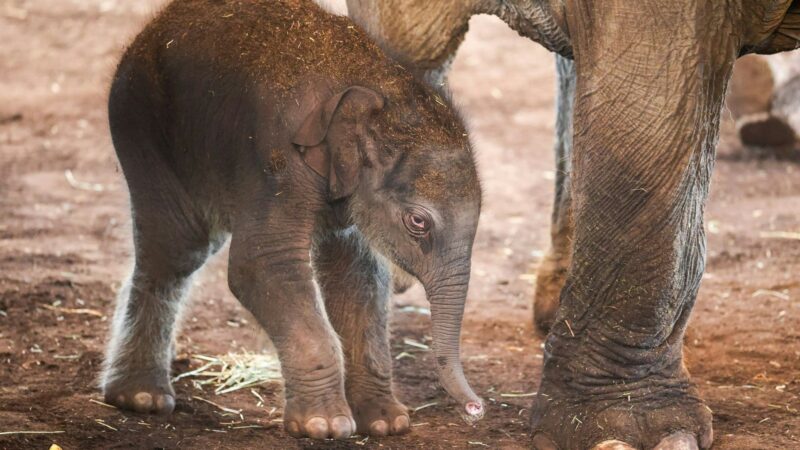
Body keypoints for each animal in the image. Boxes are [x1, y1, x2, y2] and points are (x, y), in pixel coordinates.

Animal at [102, 0, 484, 440]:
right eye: (418, 222)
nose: (476, 409)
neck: (378, 87)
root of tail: (158, 22)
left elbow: (357, 277)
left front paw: (386, 423)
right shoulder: (279, 160)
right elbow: (261, 265)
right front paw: (326, 426)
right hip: (140, 123)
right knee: (179, 250)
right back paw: (141, 399)